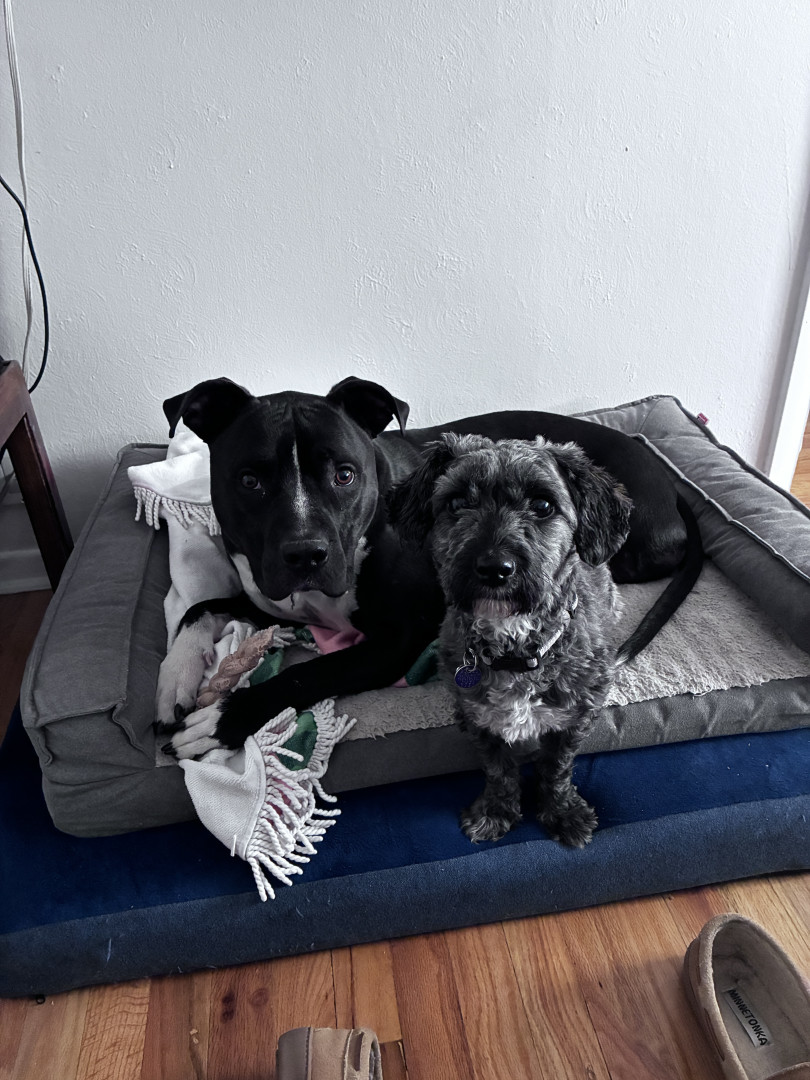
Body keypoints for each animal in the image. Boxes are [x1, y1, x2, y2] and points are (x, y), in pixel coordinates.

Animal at [155, 376, 701, 760]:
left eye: (345, 475)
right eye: (249, 481)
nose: (306, 554)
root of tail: (669, 481)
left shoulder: (392, 644)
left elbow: (306, 674)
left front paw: (221, 720)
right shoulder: (271, 598)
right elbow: (200, 608)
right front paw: (175, 676)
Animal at [387, 433, 629, 845]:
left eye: (543, 505)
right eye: (457, 502)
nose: (494, 568)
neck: (515, 649)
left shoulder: (574, 720)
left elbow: (557, 770)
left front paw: (562, 813)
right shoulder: (478, 719)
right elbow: (498, 771)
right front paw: (495, 813)